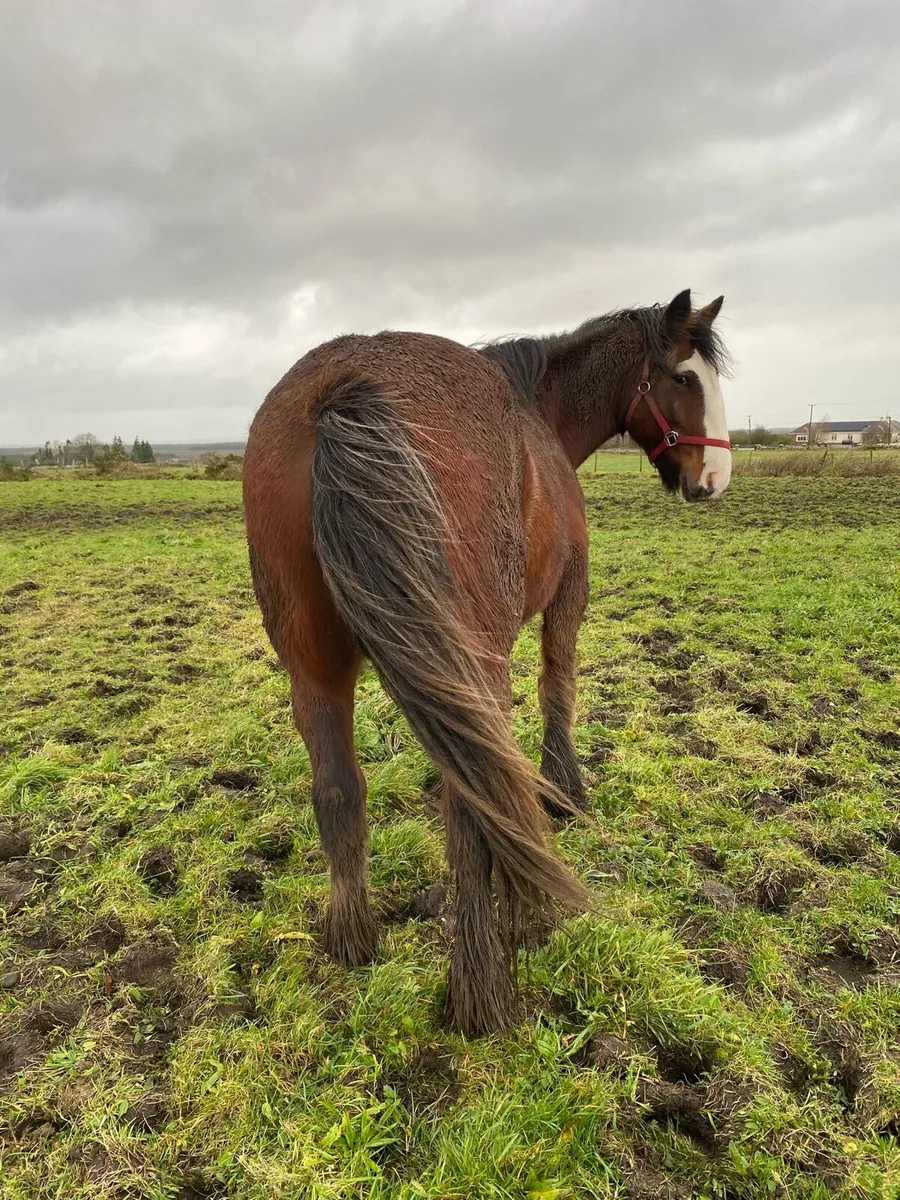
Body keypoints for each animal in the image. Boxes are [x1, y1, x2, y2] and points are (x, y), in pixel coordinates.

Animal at [242, 288, 732, 1036]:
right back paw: (483, 988)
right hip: (477, 657)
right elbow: (559, 686)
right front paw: (564, 793)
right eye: (682, 377)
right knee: (473, 808)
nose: (715, 476)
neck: (539, 413)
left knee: (338, 792)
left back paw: (353, 941)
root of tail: (345, 387)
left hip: (315, 668)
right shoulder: (569, 594)